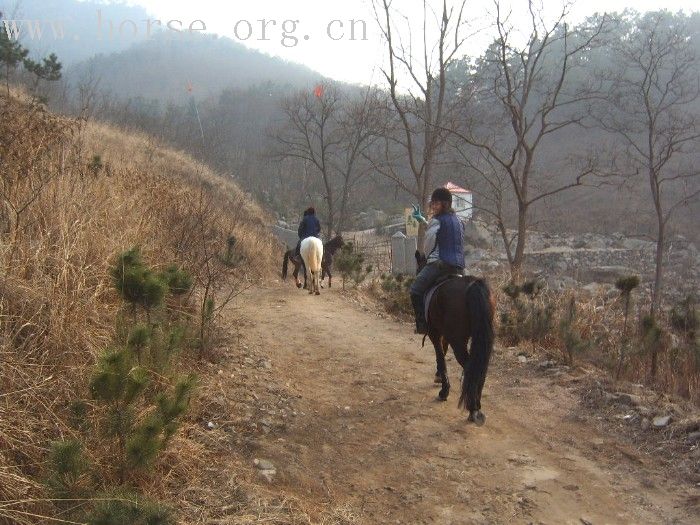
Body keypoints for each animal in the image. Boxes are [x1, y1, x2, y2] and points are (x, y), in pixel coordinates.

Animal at [418, 251, 494, 426]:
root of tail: (472, 284)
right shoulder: (445, 334)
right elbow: (443, 352)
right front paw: (439, 376)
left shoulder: (434, 332)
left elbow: (440, 355)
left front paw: (444, 390)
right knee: (480, 369)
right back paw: (476, 406)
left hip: (458, 341)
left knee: (470, 367)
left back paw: (473, 408)